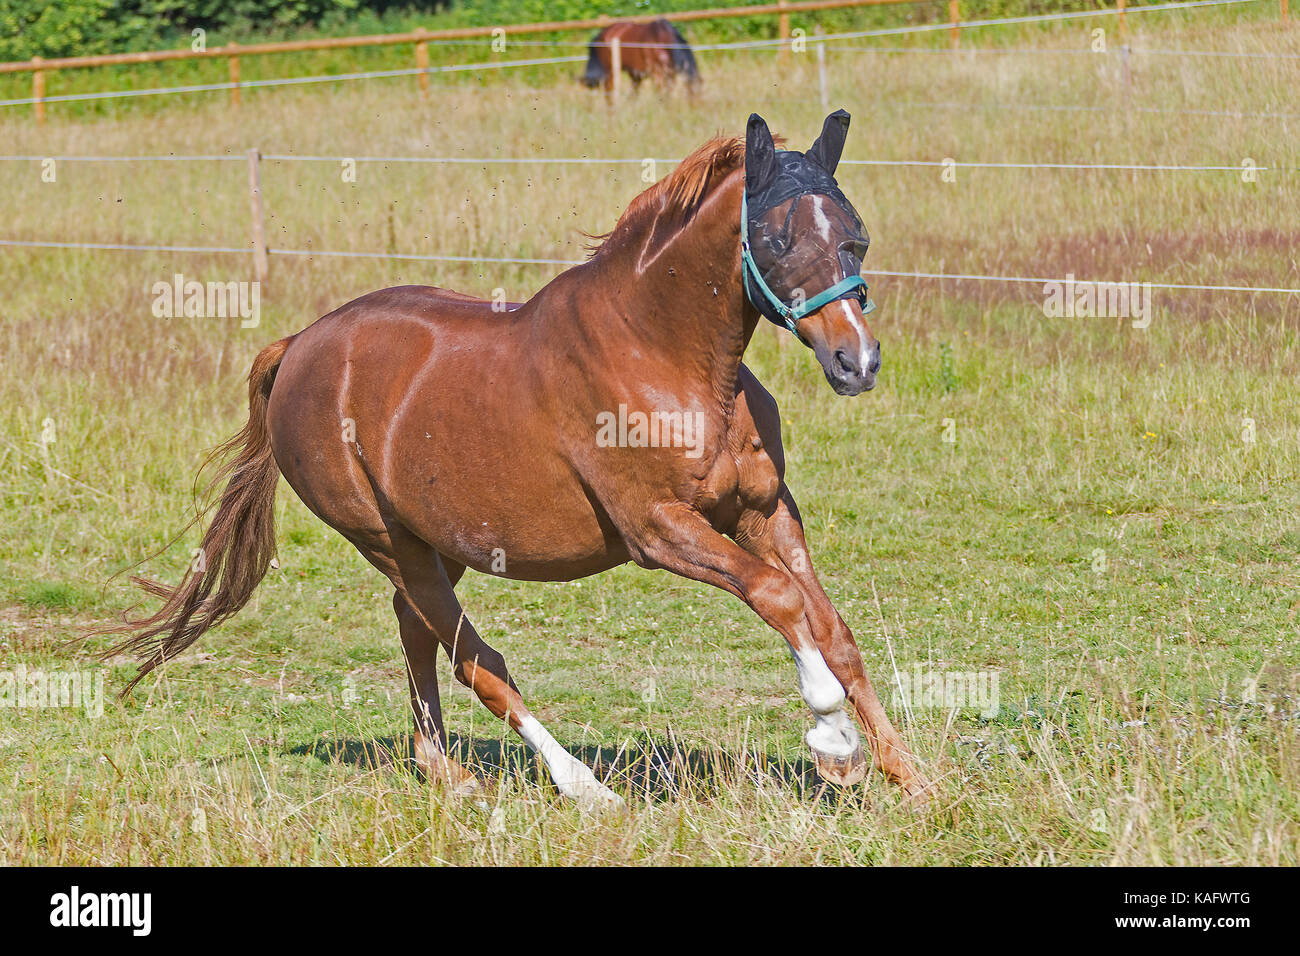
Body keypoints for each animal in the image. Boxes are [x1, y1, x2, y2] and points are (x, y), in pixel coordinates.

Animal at [98, 113, 925, 816]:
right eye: (777, 241)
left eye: (855, 236)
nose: (856, 362)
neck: (665, 356)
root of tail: (298, 346)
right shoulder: (659, 530)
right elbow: (777, 598)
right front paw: (834, 743)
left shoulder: (763, 511)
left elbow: (831, 628)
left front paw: (907, 774)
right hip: (386, 540)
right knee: (475, 659)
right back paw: (582, 787)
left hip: (442, 544)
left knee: (416, 630)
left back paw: (446, 773)